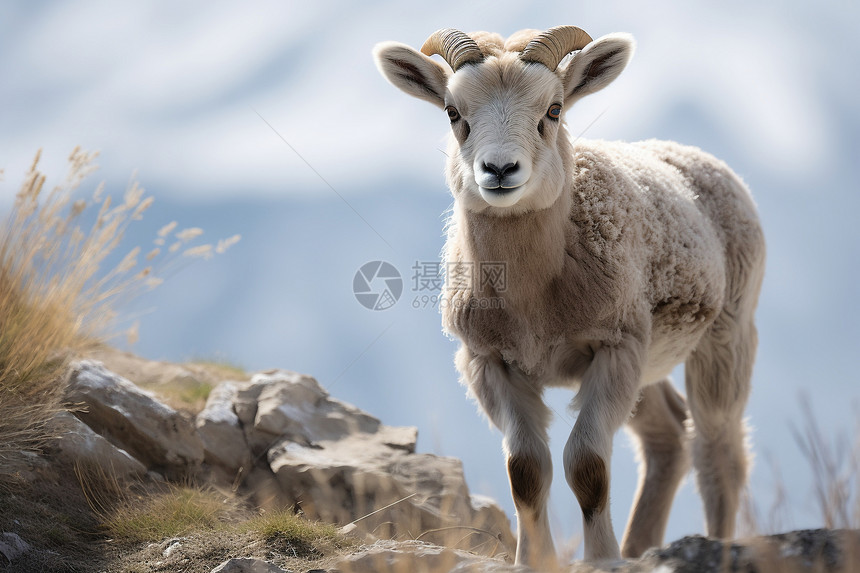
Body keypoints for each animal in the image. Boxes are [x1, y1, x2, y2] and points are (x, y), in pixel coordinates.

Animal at [372, 26, 764, 568]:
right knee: (668, 437)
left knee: (718, 446)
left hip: (726, 334)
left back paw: (714, 546)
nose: (499, 169)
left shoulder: (614, 349)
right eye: (453, 113)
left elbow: (587, 465)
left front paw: (601, 559)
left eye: (553, 109)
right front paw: (533, 560)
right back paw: (639, 545)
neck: (534, 301)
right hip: (651, 358)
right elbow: (525, 470)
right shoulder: (488, 361)